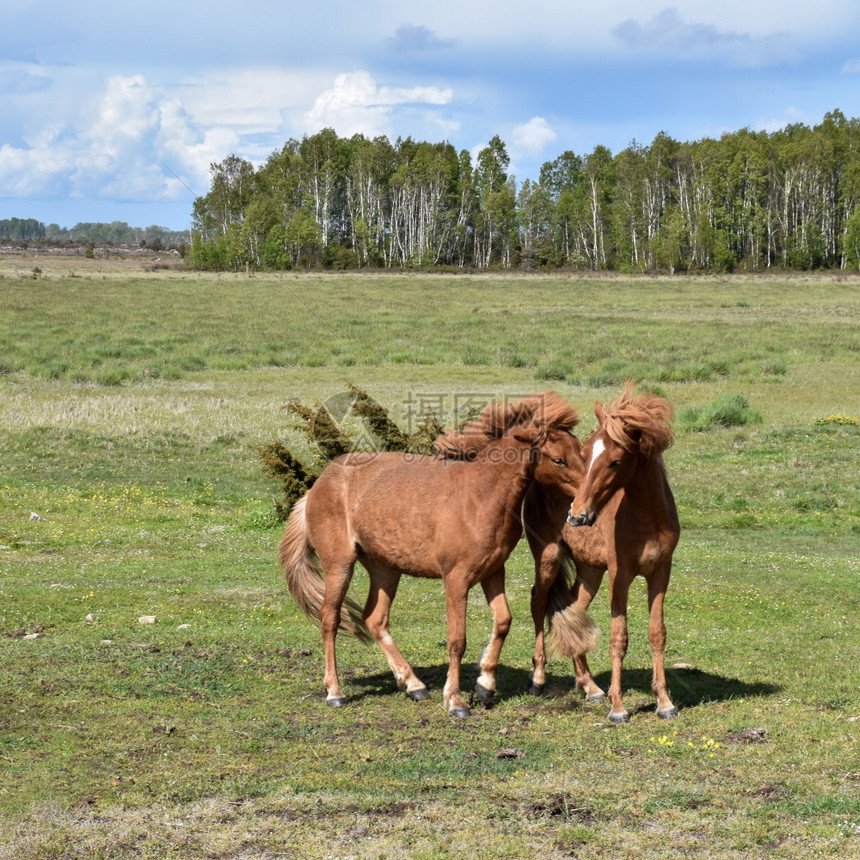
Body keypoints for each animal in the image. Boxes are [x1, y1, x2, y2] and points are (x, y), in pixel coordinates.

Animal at [280, 394, 596, 716]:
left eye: (580, 452)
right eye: (558, 459)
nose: (586, 509)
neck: (480, 495)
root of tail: (318, 485)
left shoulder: (493, 571)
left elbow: (503, 622)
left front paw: (485, 684)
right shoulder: (456, 579)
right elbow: (457, 640)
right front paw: (455, 700)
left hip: (385, 569)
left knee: (375, 619)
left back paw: (413, 685)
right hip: (340, 565)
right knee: (329, 619)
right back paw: (335, 692)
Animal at [520, 382, 680, 724]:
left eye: (615, 461)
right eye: (585, 453)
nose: (577, 515)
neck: (647, 519)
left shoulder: (661, 573)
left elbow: (657, 633)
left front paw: (664, 702)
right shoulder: (620, 576)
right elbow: (619, 638)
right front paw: (618, 707)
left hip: (590, 570)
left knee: (574, 612)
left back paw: (590, 686)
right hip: (548, 558)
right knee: (538, 603)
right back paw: (538, 678)